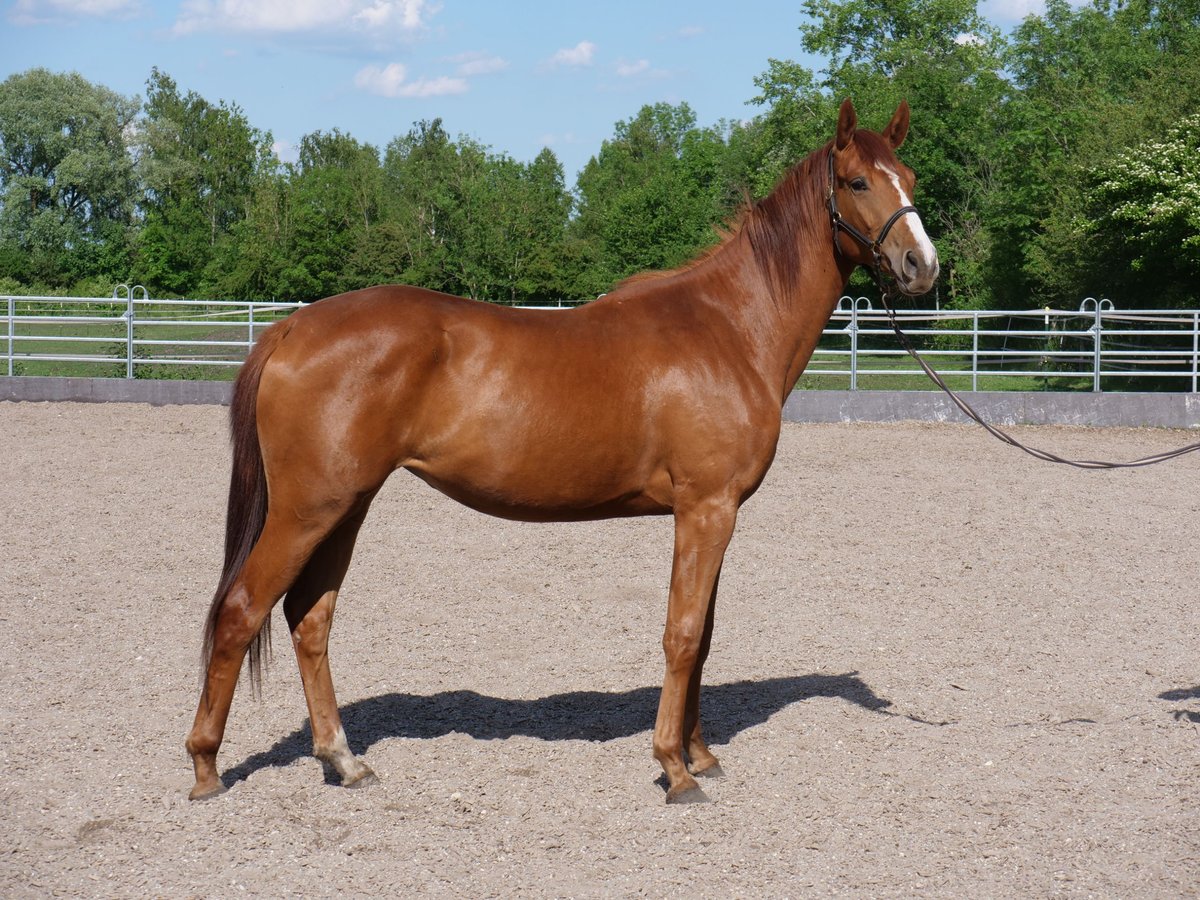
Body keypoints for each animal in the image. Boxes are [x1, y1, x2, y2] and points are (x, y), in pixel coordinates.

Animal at [186, 98, 939, 804]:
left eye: (909, 177)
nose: (921, 266)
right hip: (308, 510)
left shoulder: (717, 513)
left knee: (309, 620)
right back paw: (205, 767)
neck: (728, 327)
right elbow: (682, 634)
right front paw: (675, 769)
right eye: (857, 181)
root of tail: (291, 328)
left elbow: (703, 636)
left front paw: (701, 756)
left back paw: (344, 760)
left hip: (346, 507)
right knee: (241, 610)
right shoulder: (705, 509)